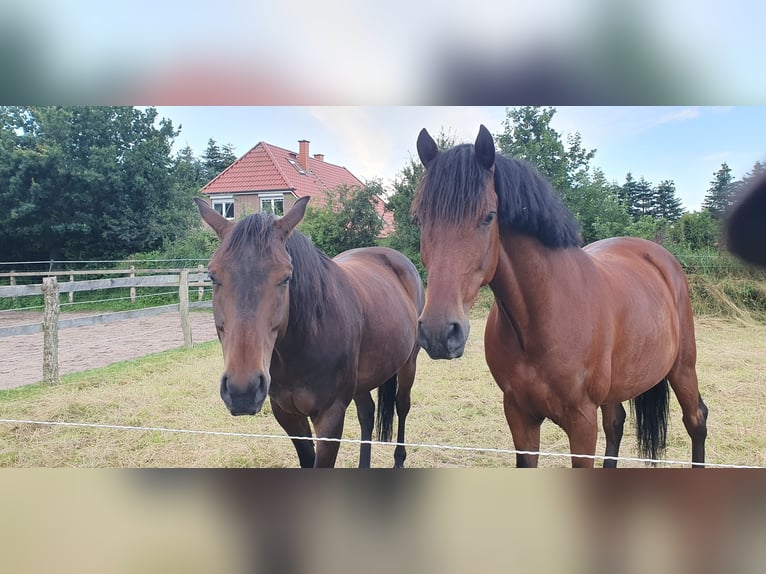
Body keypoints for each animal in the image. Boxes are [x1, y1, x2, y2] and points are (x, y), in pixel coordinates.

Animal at [195, 198, 426, 468]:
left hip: (409, 363)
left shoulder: (330, 418)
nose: (243, 391)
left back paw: (399, 459)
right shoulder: (287, 415)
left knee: (402, 405)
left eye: (286, 277)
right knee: (367, 414)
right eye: (212, 276)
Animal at [416, 125, 712, 468]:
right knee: (616, 424)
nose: (439, 332)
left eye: (489, 217)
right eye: (420, 219)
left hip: (683, 368)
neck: (541, 317)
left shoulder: (582, 423)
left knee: (696, 419)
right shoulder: (519, 416)